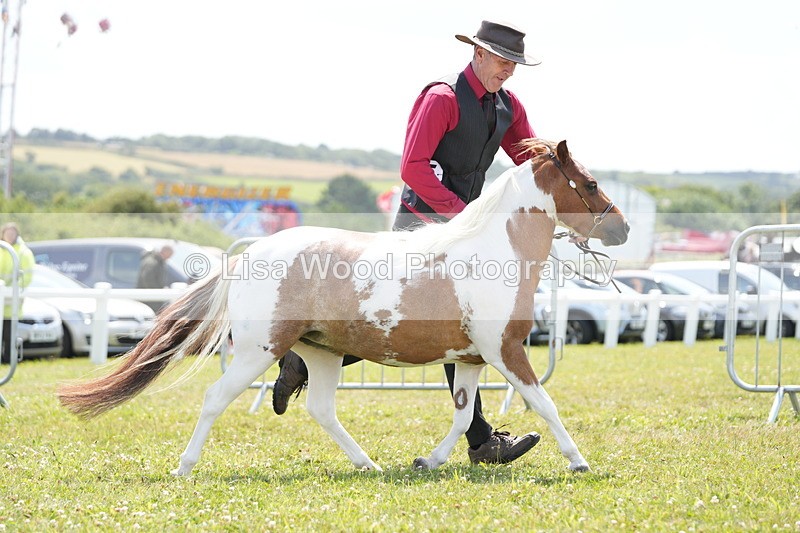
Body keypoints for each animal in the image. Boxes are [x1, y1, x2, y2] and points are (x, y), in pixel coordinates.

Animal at [58, 139, 629, 475]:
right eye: (591, 182)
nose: (621, 228)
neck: (495, 250)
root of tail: (246, 256)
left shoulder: (470, 357)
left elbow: (464, 415)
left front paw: (431, 460)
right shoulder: (505, 350)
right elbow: (544, 404)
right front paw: (578, 461)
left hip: (322, 351)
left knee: (319, 407)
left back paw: (367, 464)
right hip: (258, 349)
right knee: (216, 398)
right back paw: (184, 467)